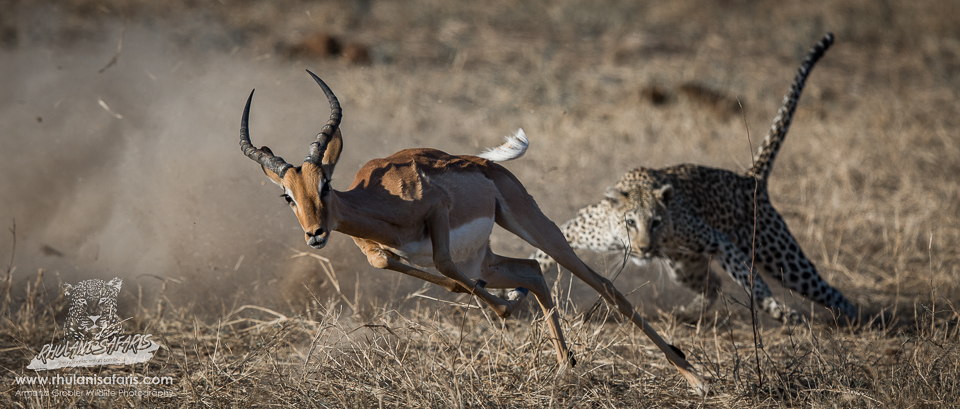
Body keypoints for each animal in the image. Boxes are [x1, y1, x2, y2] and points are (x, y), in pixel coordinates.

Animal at [532, 33, 856, 324]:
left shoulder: (717, 240)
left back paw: (853, 319)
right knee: (713, 285)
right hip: (684, 267)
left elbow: (751, 280)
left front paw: (776, 309)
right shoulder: (577, 229)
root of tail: (749, 178)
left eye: (656, 222)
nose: (644, 249)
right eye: (630, 222)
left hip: (780, 257)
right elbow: (542, 252)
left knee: (828, 291)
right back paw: (685, 314)